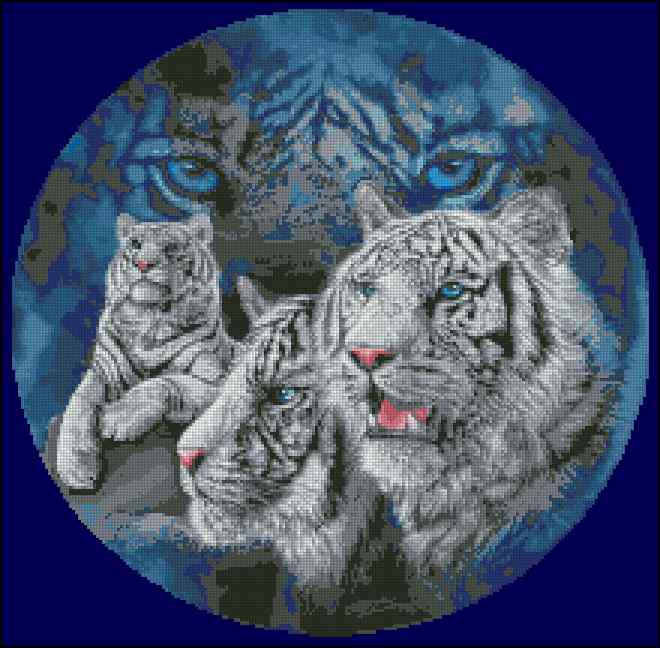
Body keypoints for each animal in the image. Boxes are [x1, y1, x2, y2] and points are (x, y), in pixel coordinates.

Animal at [56, 212, 233, 491]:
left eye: (171, 247)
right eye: (135, 244)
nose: (142, 264)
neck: (150, 322)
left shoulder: (223, 378)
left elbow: (167, 381)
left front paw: (117, 419)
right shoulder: (103, 370)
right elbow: (79, 402)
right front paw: (75, 467)